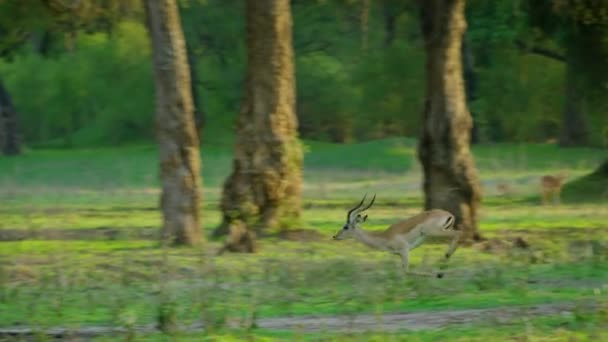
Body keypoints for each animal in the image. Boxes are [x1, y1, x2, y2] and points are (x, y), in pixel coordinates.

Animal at [332, 192, 460, 278]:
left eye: (345, 226)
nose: (335, 236)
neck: (385, 237)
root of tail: (448, 214)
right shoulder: (399, 255)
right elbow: (401, 273)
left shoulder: (405, 250)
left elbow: (407, 271)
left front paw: (437, 275)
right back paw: (444, 264)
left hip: (435, 232)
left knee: (459, 233)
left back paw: (444, 263)